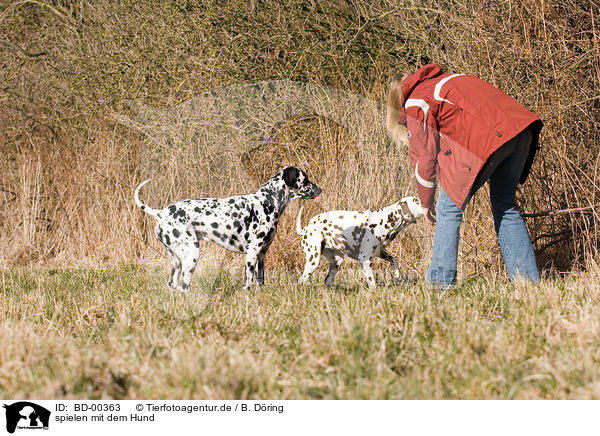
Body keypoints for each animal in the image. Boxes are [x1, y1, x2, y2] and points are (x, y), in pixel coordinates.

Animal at [135, 167, 322, 292]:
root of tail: (162, 212)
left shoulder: (262, 254)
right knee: (183, 286)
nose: (320, 189)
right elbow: (248, 282)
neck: (267, 201)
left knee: (172, 284)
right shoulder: (252, 253)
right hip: (191, 256)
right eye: (305, 179)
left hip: (177, 262)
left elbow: (260, 281)